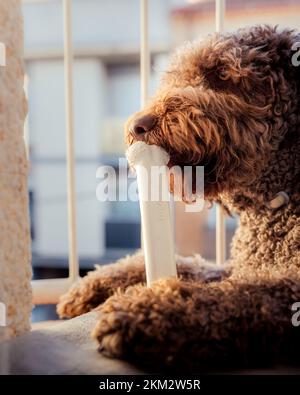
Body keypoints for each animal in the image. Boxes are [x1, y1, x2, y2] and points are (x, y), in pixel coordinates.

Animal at [56, 25, 300, 372]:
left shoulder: (282, 287)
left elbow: (243, 296)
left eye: (222, 75)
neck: (275, 207)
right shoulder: (236, 267)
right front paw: (96, 283)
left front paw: (150, 309)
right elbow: (193, 266)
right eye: (178, 75)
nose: (137, 125)